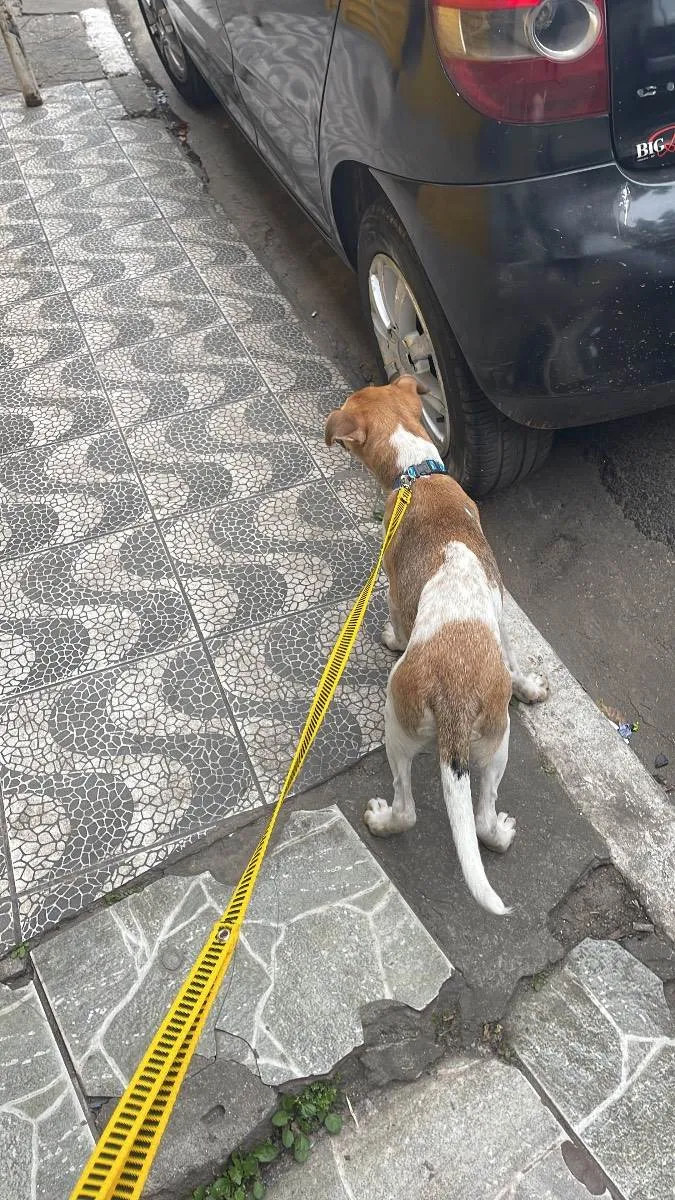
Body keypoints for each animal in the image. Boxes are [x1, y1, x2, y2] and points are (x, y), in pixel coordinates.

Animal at [324, 379, 547, 912]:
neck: (418, 473)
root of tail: (455, 697)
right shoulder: (500, 609)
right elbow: (512, 654)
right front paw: (528, 684)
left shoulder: (395, 591)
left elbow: (396, 623)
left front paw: (389, 637)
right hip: (497, 743)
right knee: (482, 819)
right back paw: (499, 832)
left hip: (397, 726)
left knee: (407, 808)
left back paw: (383, 820)